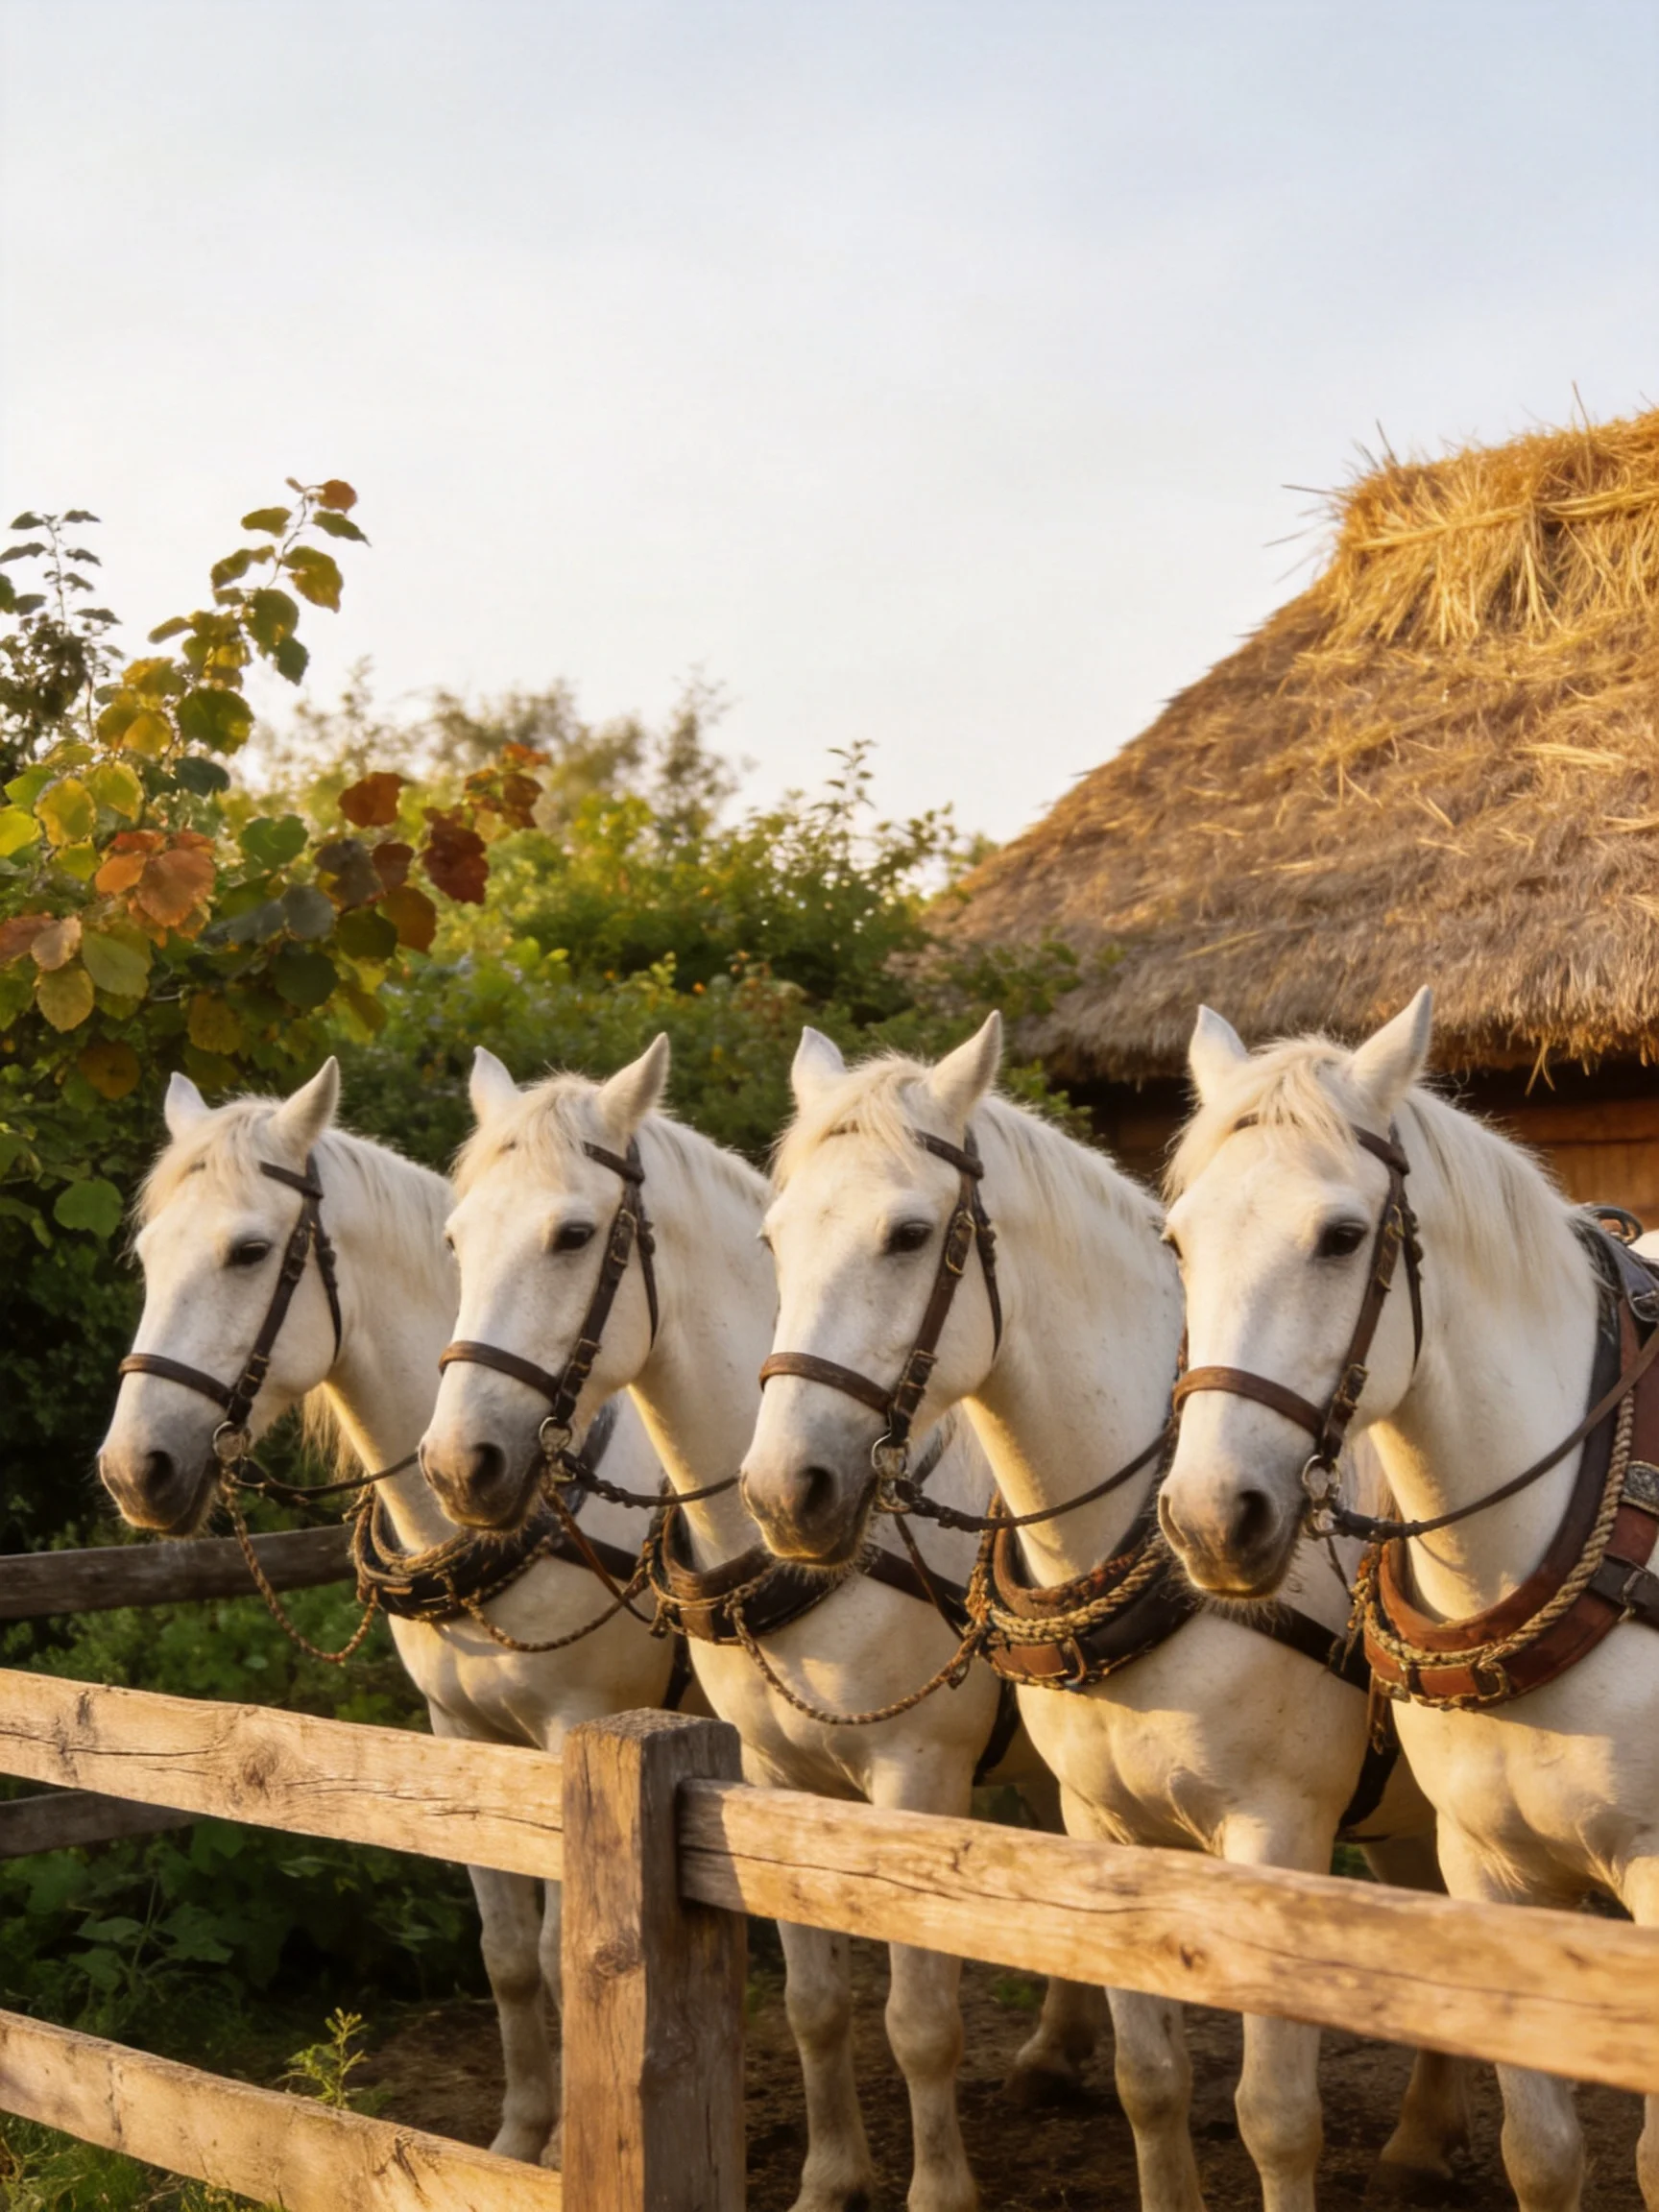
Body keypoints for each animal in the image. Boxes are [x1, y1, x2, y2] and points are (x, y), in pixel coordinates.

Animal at [96, 1058, 683, 2168]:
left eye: (248, 1252)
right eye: (148, 1255)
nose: (134, 1471)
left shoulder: (573, 1736)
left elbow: (562, 1947)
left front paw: (559, 2149)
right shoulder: (461, 1735)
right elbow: (508, 1955)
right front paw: (519, 2135)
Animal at [418, 1037, 1106, 2212]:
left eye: (572, 1234)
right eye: (456, 1239)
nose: (462, 1464)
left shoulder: (917, 1781)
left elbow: (920, 2017)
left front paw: (935, 2188)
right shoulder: (770, 1779)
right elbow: (814, 2005)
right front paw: (831, 2177)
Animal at [740, 1015, 1472, 2212]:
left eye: (908, 1234)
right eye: (773, 1240)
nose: (781, 1492)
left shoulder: (1277, 1836)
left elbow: (1276, 2114)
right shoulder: (1102, 1829)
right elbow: (1150, 2080)